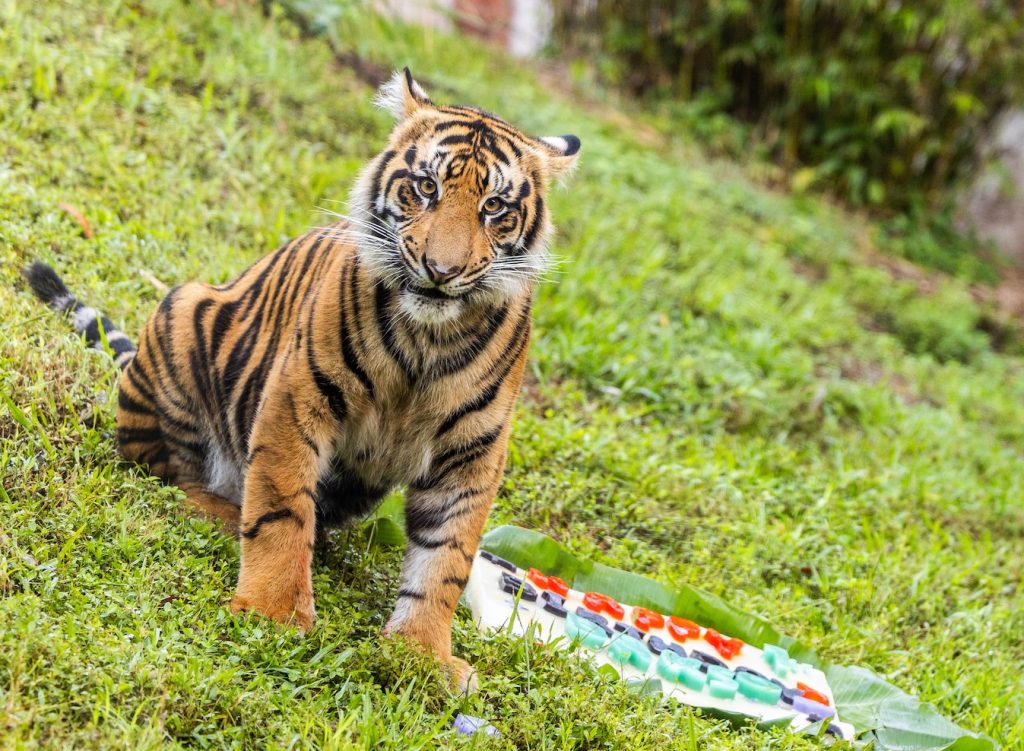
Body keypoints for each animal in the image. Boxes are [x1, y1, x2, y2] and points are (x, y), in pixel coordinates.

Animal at [22, 69, 579, 690]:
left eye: (494, 206)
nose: (441, 270)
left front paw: (421, 655)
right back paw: (222, 512)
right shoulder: (299, 396)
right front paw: (274, 612)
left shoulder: (473, 450)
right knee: (169, 477)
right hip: (180, 315)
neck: (427, 340)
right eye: (426, 187)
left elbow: (446, 559)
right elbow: (280, 508)